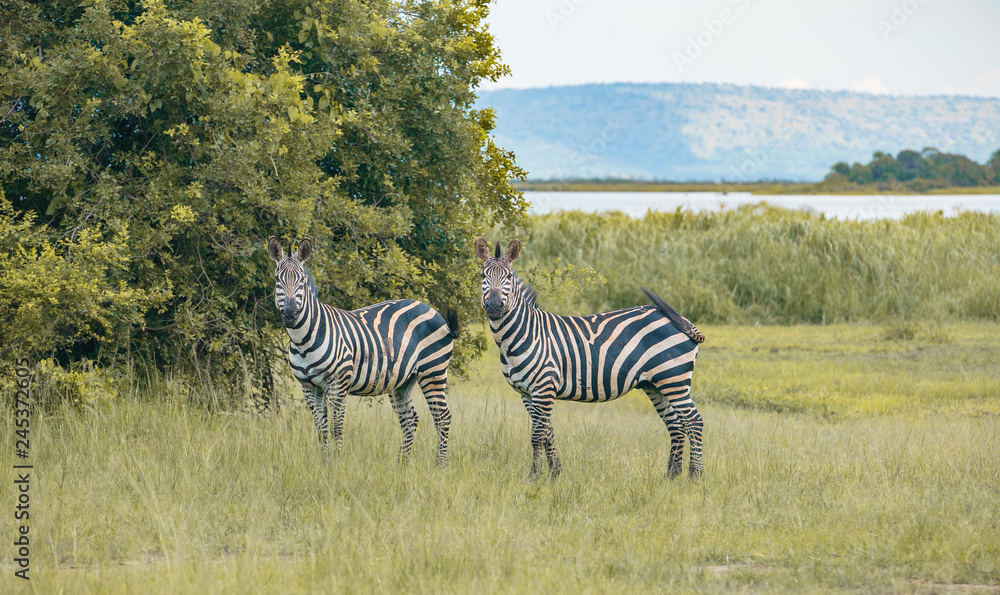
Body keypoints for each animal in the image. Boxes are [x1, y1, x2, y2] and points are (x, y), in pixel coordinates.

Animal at [268, 236, 458, 464]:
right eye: (278, 280)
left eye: (302, 281)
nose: (290, 314)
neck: (303, 340)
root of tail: (431, 309)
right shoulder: (309, 387)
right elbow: (321, 430)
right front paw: (324, 463)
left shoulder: (338, 384)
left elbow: (336, 428)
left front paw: (337, 463)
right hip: (403, 380)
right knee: (410, 419)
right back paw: (401, 464)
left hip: (433, 371)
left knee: (443, 417)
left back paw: (441, 464)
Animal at [475, 237, 706, 479]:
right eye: (482, 276)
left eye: (509, 276)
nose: (494, 306)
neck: (525, 333)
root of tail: (681, 320)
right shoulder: (527, 394)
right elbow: (548, 432)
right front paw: (555, 472)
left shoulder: (543, 388)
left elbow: (537, 435)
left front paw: (534, 476)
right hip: (655, 384)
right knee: (676, 425)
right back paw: (672, 475)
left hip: (673, 379)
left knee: (694, 421)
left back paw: (695, 475)